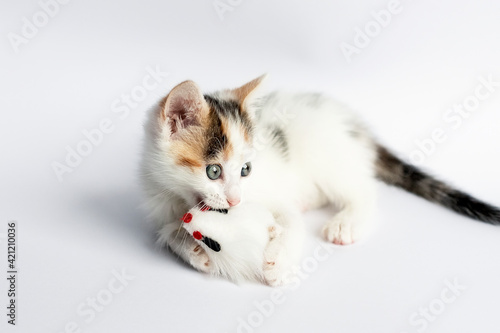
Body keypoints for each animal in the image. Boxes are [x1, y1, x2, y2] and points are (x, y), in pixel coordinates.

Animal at [141, 75, 500, 286]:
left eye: (246, 170)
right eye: (213, 171)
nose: (235, 200)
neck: (182, 198)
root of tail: (353, 127)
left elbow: (290, 224)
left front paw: (277, 264)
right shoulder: (159, 203)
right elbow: (168, 232)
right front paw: (194, 252)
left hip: (327, 153)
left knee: (363, 189)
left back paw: (346, 222)